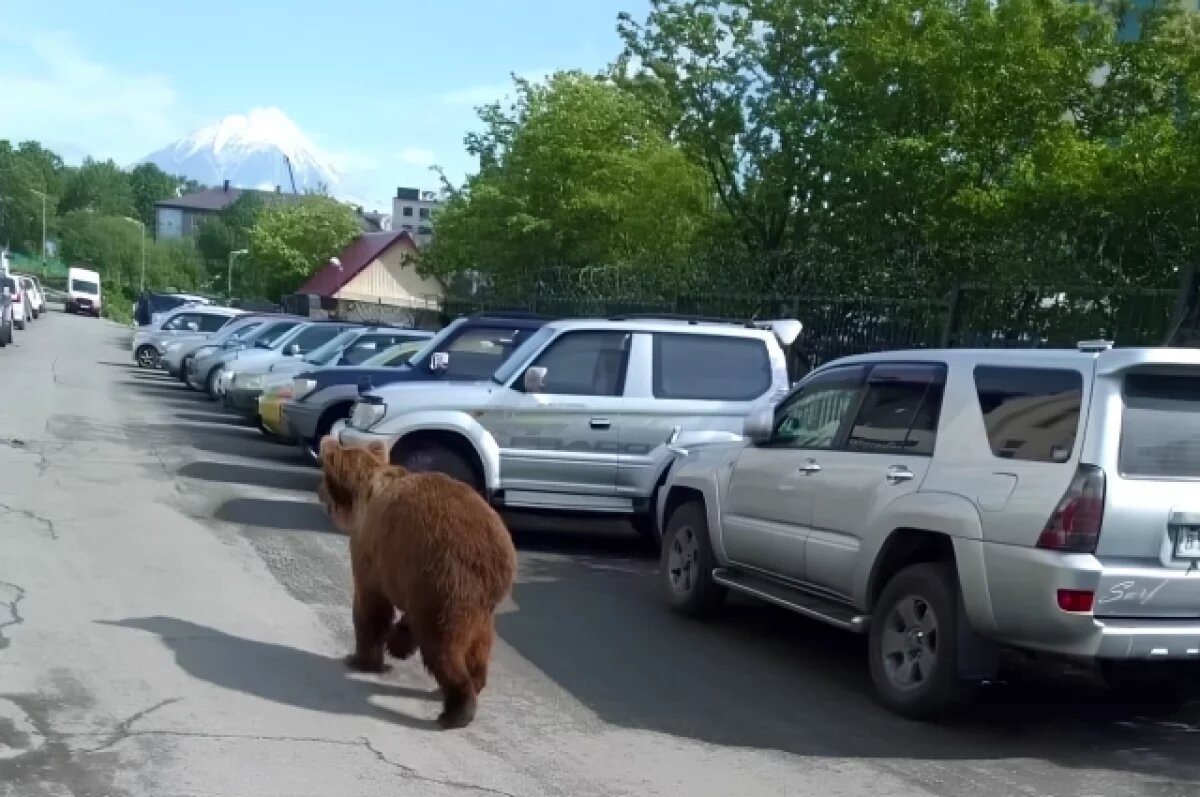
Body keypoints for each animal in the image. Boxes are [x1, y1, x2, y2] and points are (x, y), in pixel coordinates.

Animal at [316, 436, 518, 729]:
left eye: (323, 477)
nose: (318, 491)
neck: (364, 498)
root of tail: (498, 553)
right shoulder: (408, 576)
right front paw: (397, 644)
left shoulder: (373, 552)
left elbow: (371, 607)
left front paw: (361, 659)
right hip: (481, 600)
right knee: (479, 643)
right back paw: (474, 682)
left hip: (449, 578)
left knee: (441, 644)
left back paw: (456, 710)